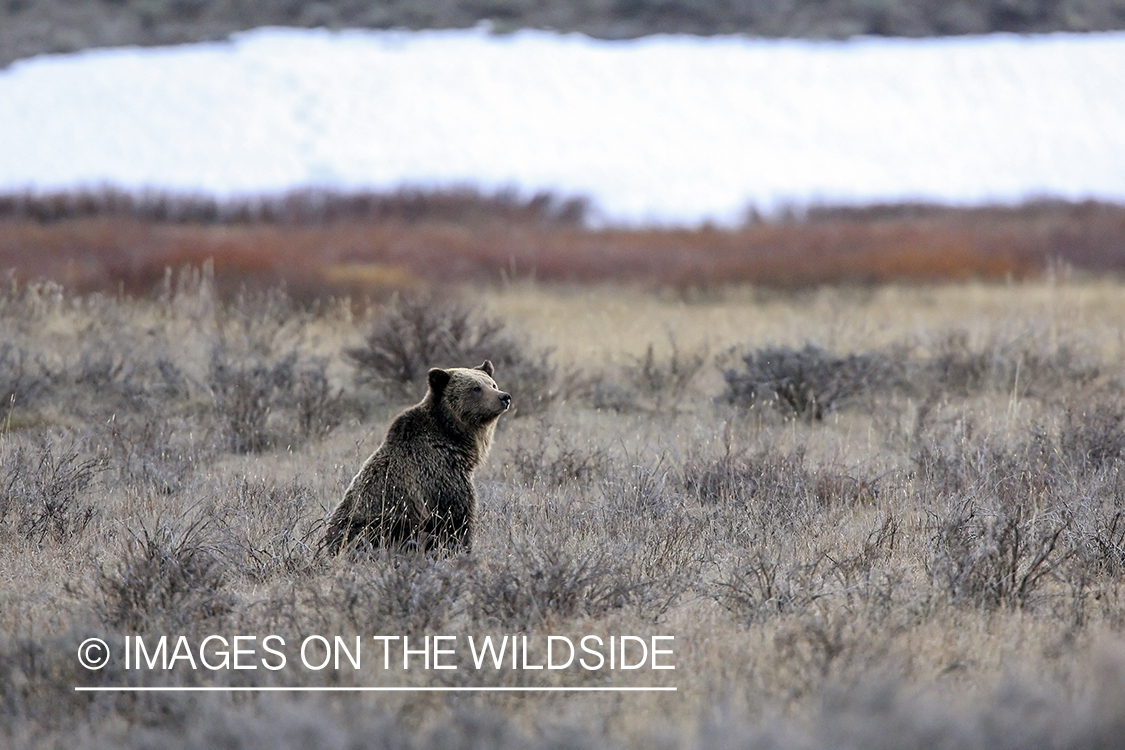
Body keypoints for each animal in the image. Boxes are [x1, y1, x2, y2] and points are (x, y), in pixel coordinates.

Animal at [322, 360, 510, 556]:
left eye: (492, 384)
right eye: (476, 388)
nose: (504, 397)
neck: (454, 439)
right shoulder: (439, 477)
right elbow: (456, 521)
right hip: (380, 525)